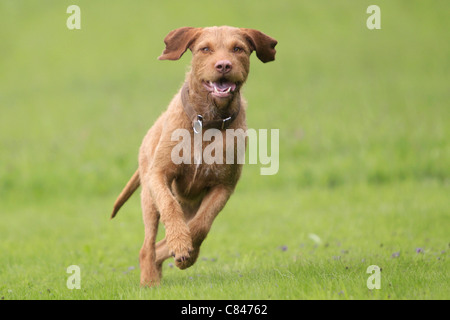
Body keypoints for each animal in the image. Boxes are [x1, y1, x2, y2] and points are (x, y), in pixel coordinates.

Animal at [110, 25, 276, 288]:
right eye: (205, 49)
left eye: (238, 49)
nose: (224, 65)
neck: (207, 121)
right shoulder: (159, 176)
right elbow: (170, 207)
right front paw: (179, 243)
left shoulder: (223, 186)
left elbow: (201, 225)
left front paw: (185, 251)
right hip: (148, 198)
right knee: (147, 246)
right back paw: (150, 280)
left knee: (161, 244)